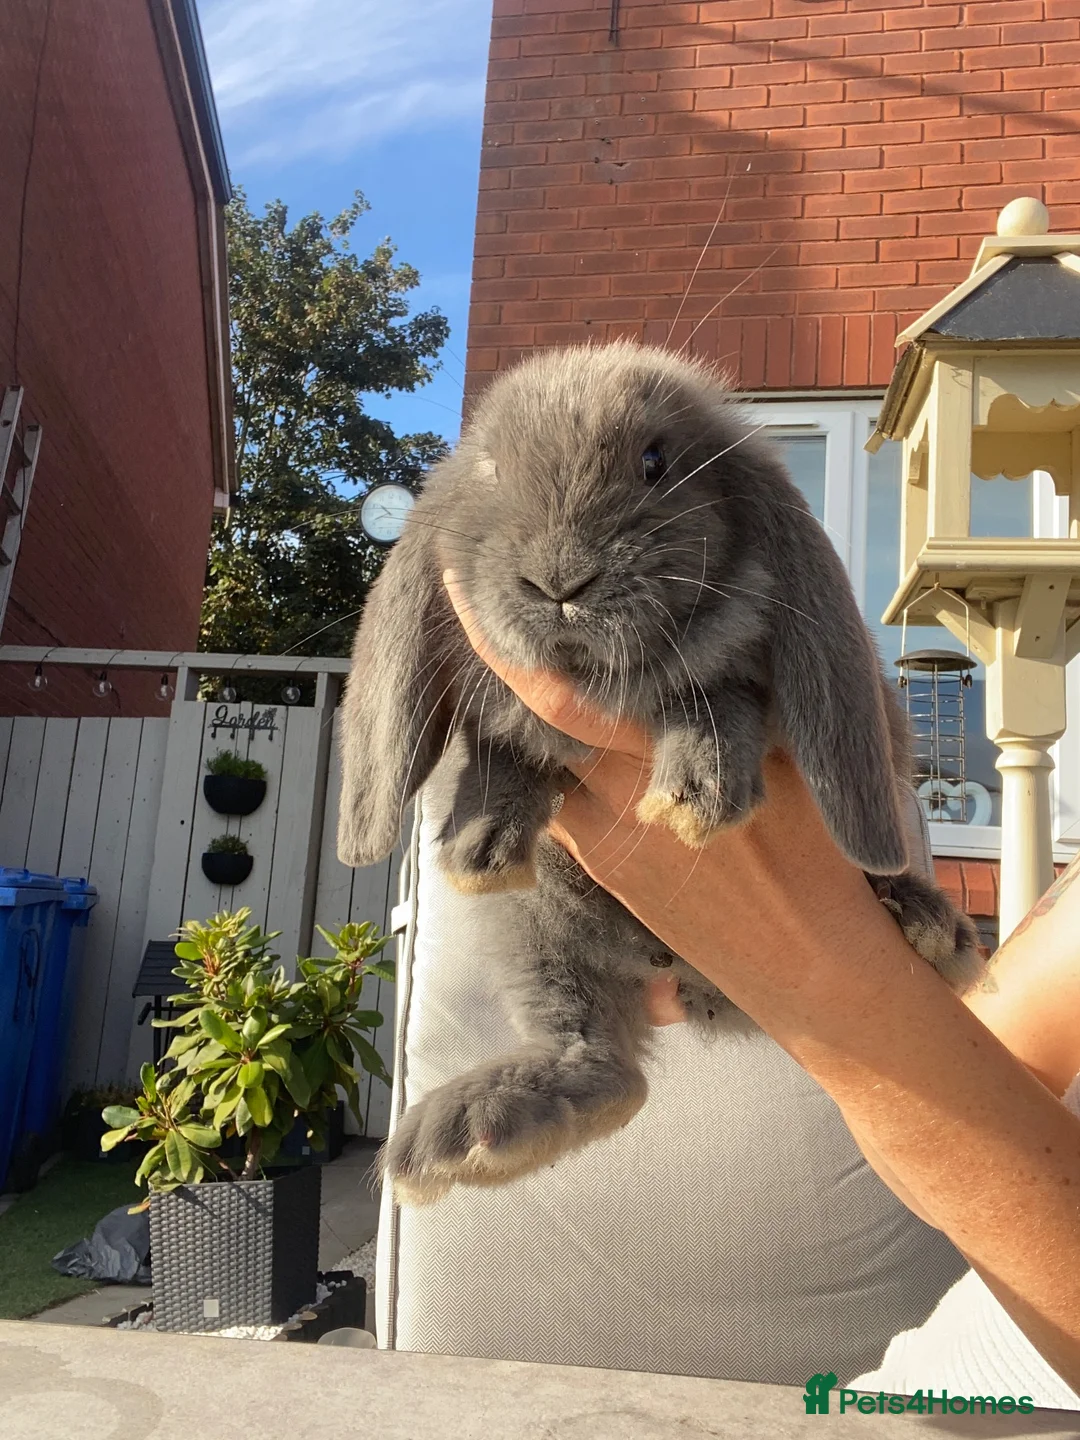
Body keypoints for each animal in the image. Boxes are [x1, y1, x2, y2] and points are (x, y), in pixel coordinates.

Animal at [337, 341, 983, 1205]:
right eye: (494, 470)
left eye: (655, 462)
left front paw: (696, 795)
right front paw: (479, 843)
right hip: (532, 935)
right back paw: (469, 1134)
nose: (560, 582)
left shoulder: (744, 680)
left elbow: (720, 699)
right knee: (605, 1068)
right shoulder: (502, 723)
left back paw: (932, 928)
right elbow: (499, 750)